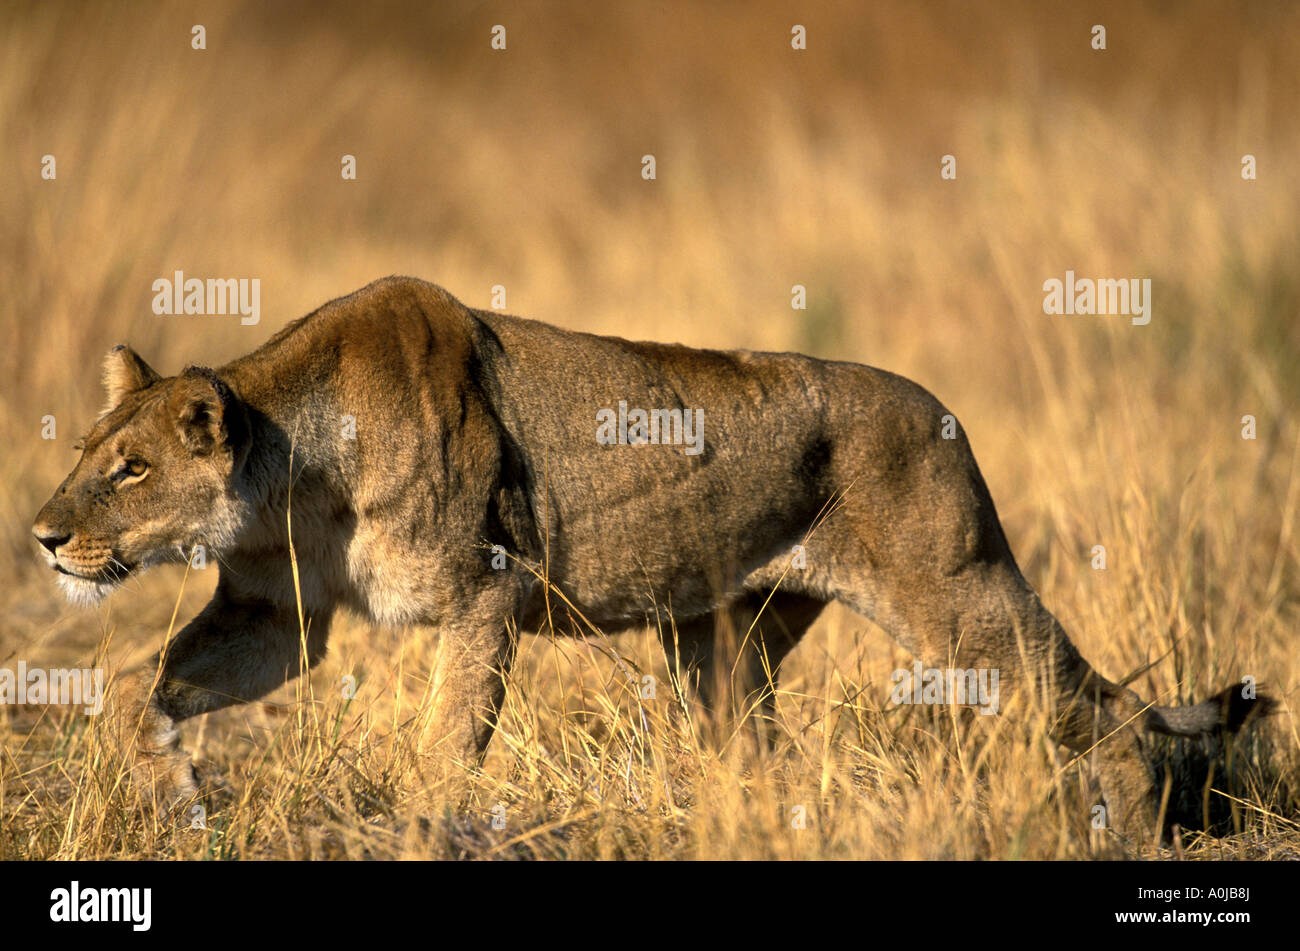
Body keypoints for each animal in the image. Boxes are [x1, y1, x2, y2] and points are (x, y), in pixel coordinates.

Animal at [32, 276, 1267, 841]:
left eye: (129, 469)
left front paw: (420, 827)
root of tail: (945, 414)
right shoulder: (275, 618)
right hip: (725, 643)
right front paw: (159, 784)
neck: (292, 478)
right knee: (754, 757)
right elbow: (149, 686)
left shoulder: (489, 586)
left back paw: (1130, 833)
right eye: (91, 453)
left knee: (1104, 711)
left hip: (959, 599)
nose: (42, 537)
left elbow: (447, 738)